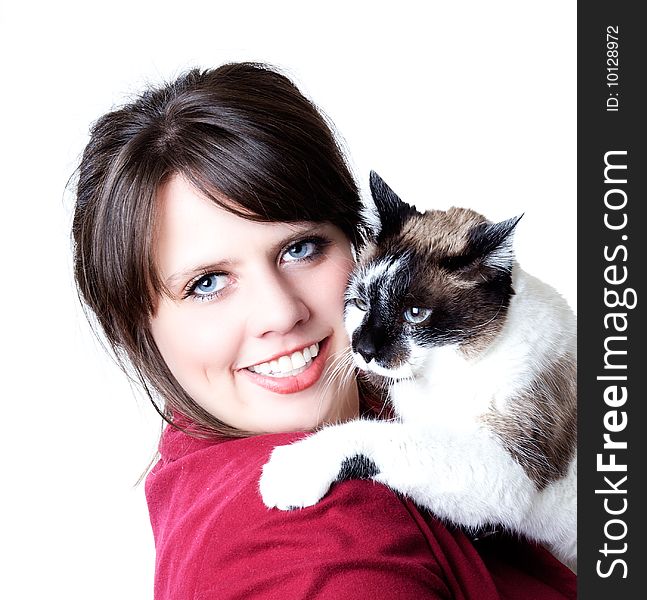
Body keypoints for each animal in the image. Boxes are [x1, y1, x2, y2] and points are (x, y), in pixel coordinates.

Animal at [258, 171, 576, 568]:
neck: (444, 374)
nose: (363, 350)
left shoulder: (508, 466)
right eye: (361, 303)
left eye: (415, 314)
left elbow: (385, 435)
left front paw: (291, 468)